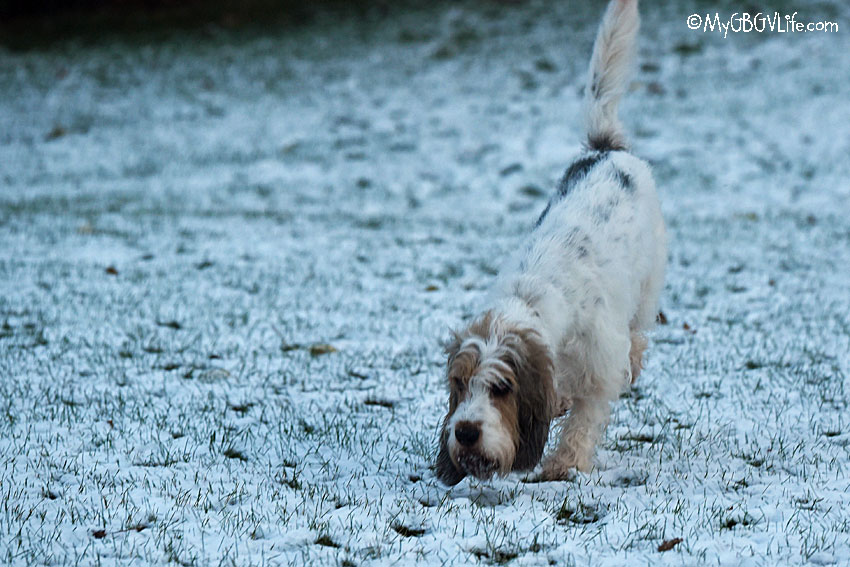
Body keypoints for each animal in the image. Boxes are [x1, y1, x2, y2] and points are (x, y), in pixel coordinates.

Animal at [434, 1, 664, 488]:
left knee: (638, 335)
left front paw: (563, 464)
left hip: (648, 287)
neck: (533, 299)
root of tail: (605, 149)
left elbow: (585, 418)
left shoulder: (599, 368)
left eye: (502, 387)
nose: (465, 433)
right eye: (460, 383)